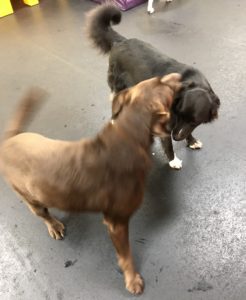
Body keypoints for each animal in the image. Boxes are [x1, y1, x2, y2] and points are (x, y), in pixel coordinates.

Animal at [0, 73, 181, 296]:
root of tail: (8, 141)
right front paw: (132, 280)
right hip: (30, 198)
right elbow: (126, 256)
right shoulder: (116, 222)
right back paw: (54, 226)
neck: (127, 135)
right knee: (43, 214)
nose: (180, 75)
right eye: (162, 83)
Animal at [85, 4, 220, 169]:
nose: (176, 136)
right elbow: (168, 144)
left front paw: (191, 141)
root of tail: (121, 41)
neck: (189, 82)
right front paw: (173, 160)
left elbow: (187, 131)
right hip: (118, 87)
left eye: (194, 121)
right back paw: (115, 120)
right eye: (179, 114)